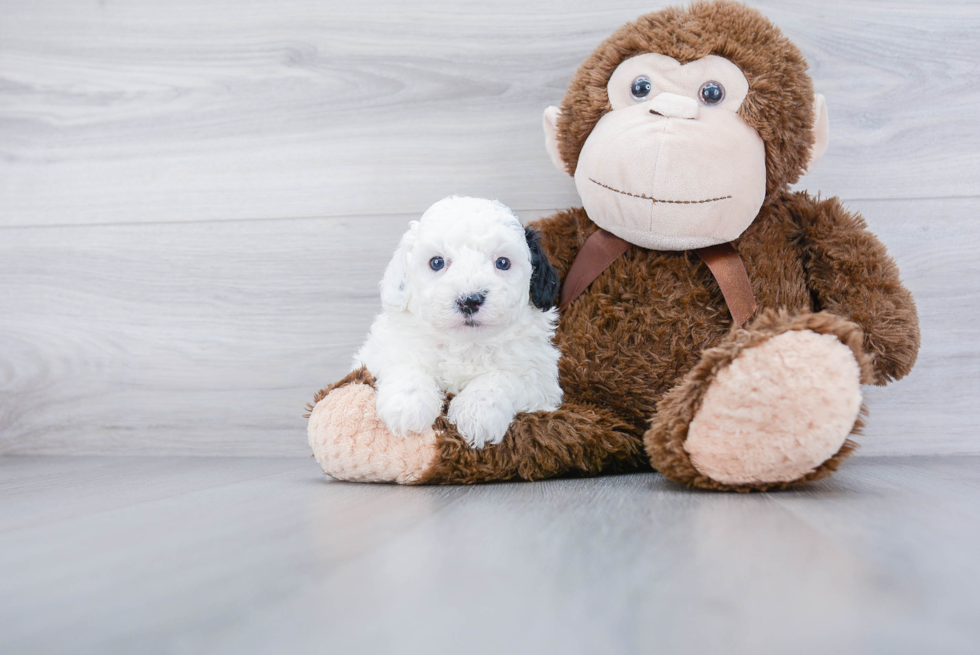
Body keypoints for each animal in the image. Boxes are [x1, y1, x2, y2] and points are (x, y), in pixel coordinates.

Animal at [356, 197, 564, 448]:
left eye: (503, 263)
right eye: (437, 262)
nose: (469, 300)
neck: (465, 344)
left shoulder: (540, 380)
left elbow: (502, 377)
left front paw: (478, 414)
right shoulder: (378, 352)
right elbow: (404, 364)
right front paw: (408, 404)